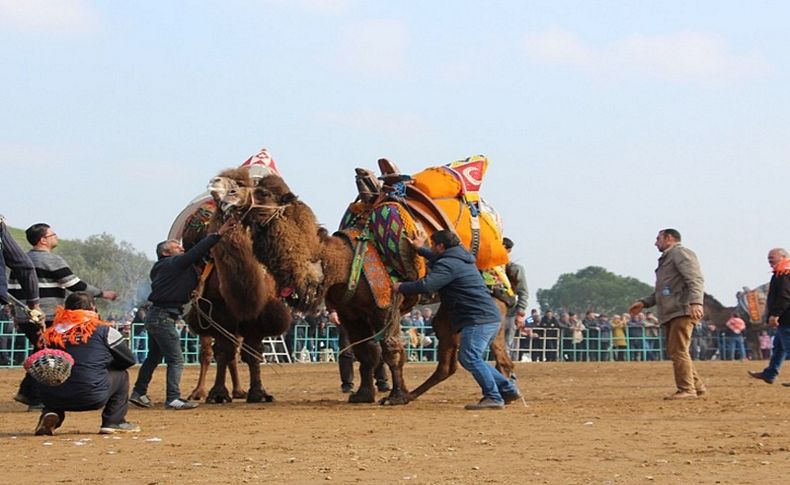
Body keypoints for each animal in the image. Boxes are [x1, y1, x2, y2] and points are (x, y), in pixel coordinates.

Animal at [180, 166, 294, 400]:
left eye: (240, 186)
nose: (214, 182)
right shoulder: (220, 311)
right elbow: (224, 351)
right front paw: (218, 393)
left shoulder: (261, 313)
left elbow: (254, 353)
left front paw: (258, 392)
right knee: (209, 351)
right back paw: (199, 392)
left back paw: (239, 390)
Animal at [221, 168, 512, 402]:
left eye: (264, 192)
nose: (228, 196)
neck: (341, 264)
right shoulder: (350, 314)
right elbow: (366, 353)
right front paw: (363, 394)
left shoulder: (386, 303)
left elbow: (392, 350)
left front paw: (395, 396)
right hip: (449, 310)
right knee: (448, 361)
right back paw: (420, 394)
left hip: (492, 302)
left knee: (497, 352)